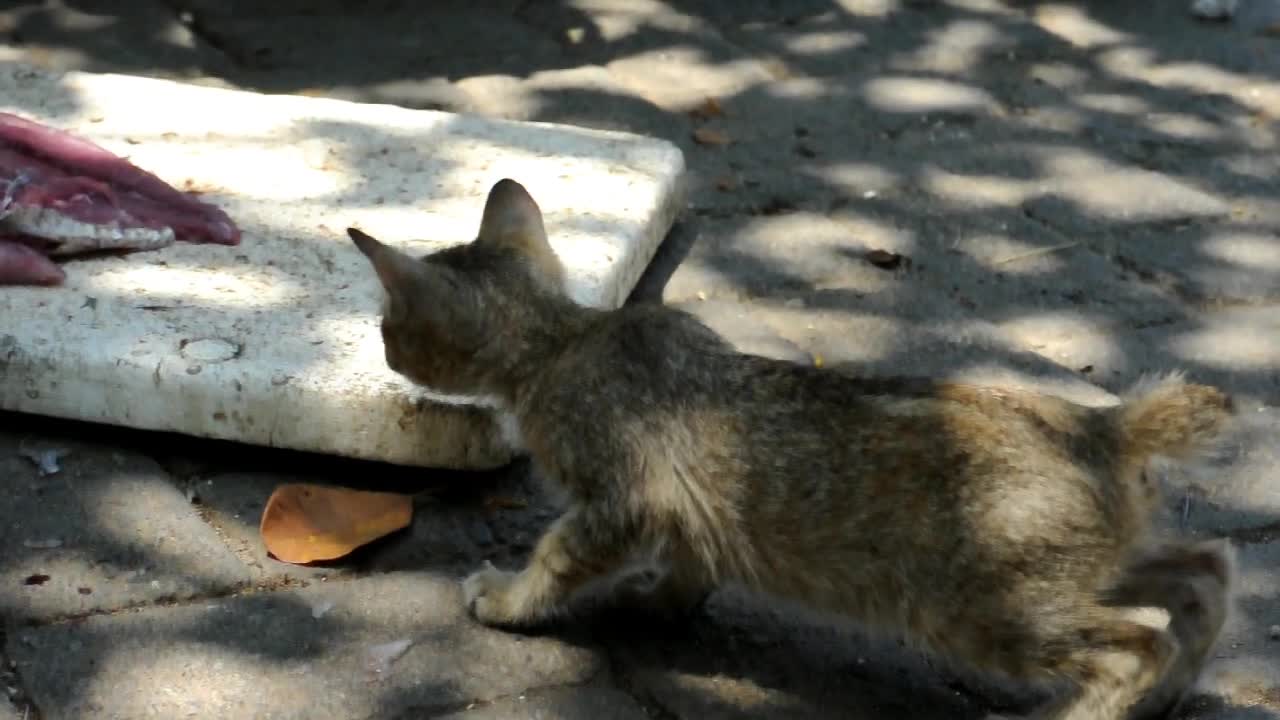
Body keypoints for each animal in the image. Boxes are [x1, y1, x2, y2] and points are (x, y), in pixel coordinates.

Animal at [350, 175, 1239, 717]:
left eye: (389, 325)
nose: (382, 348)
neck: (566, 341)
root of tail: (1105, 425)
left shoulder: (620, 501)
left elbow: (554, 558)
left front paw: (507, 599)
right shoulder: (680, 514)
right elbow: (689, 564)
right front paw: (656, 603)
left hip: (991, 612)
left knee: (1134, 646)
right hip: (1090, 571)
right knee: (1205, 572)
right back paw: (1174, 687)